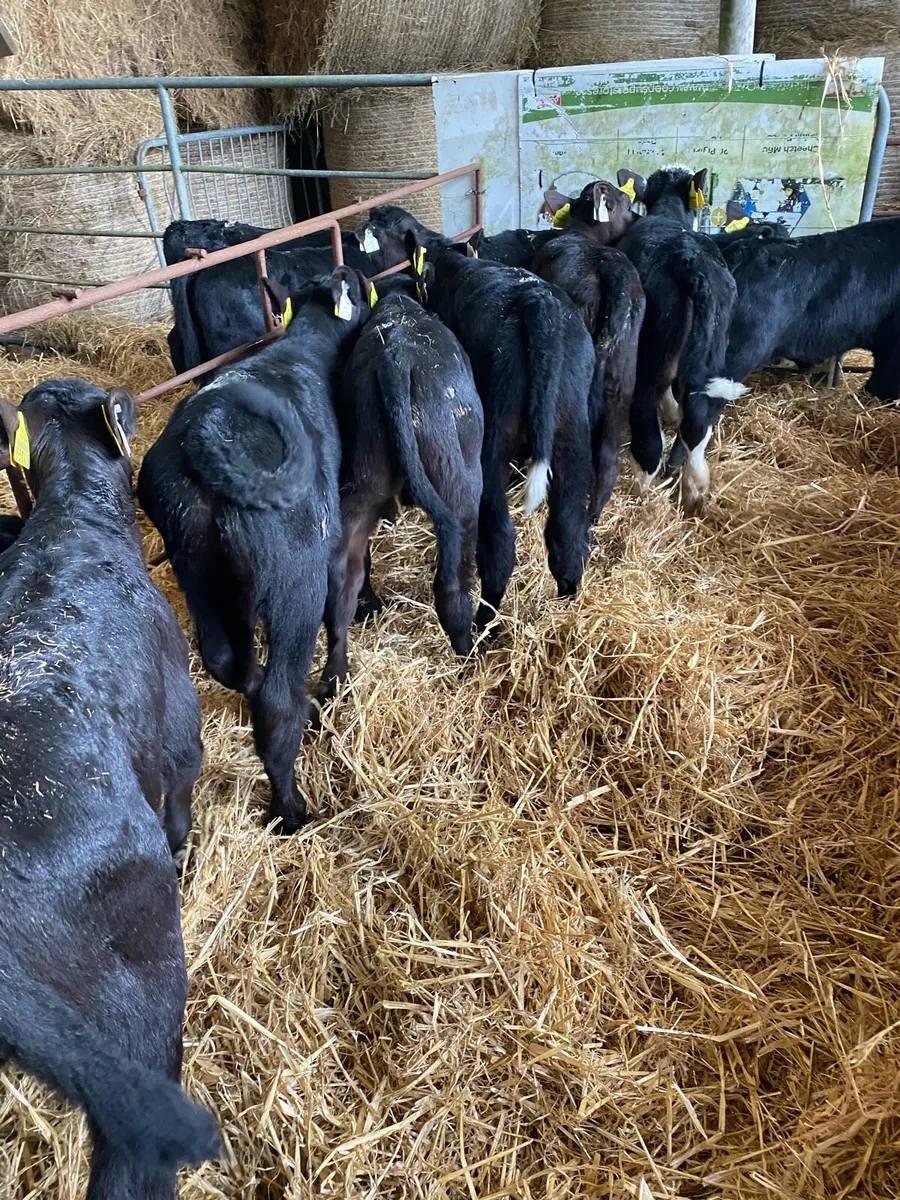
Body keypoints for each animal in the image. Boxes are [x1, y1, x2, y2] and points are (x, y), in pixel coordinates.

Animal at [139, 267, 372, 833]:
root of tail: (204, 435)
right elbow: (342, 603)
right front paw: (337, 678)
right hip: (293, 579)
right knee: (278, 699)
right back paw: (291, 807)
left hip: (198, 568)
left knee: (227, 659)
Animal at [318, 287, 484, 701]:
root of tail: (395, 357)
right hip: (459, 483)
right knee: (451, 581)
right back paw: (470, 651)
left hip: (363, 482)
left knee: (343, 581)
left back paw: (333, 682)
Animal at [613, 166, 745, 514]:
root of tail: (687, 259)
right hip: (713, 348)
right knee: (698, 419)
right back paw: (694, 491)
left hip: (651, 355)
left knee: (647, 413)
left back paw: (642, 485)